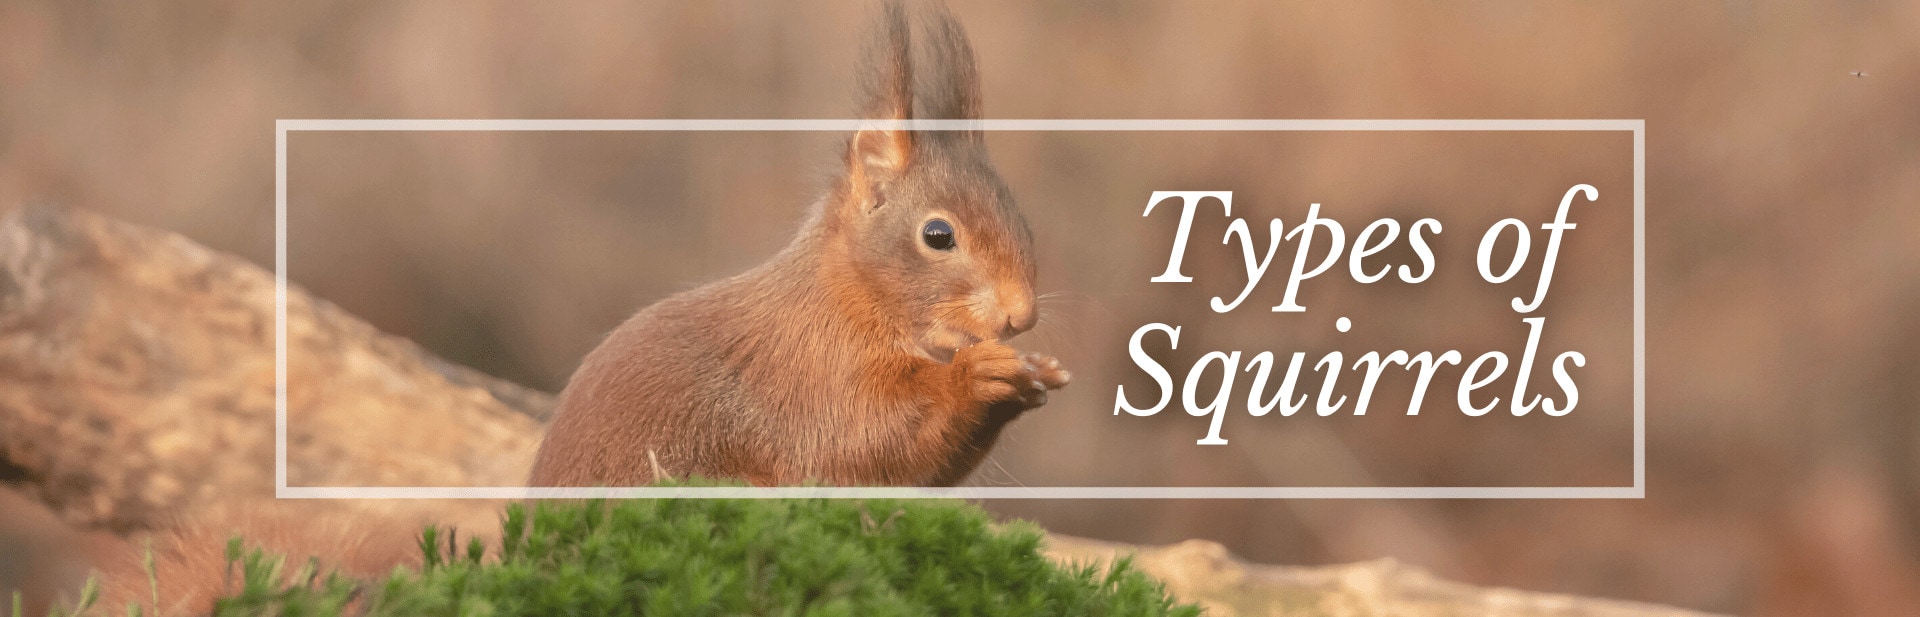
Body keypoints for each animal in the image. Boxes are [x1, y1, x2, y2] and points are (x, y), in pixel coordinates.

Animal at [527, 2, 1068, 488]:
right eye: (938, 235)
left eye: (1022, 220)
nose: (1022, 316)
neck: (855, 296)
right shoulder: (815, 374)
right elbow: (871, 437)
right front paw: (976, 376)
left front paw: (1036, 372)